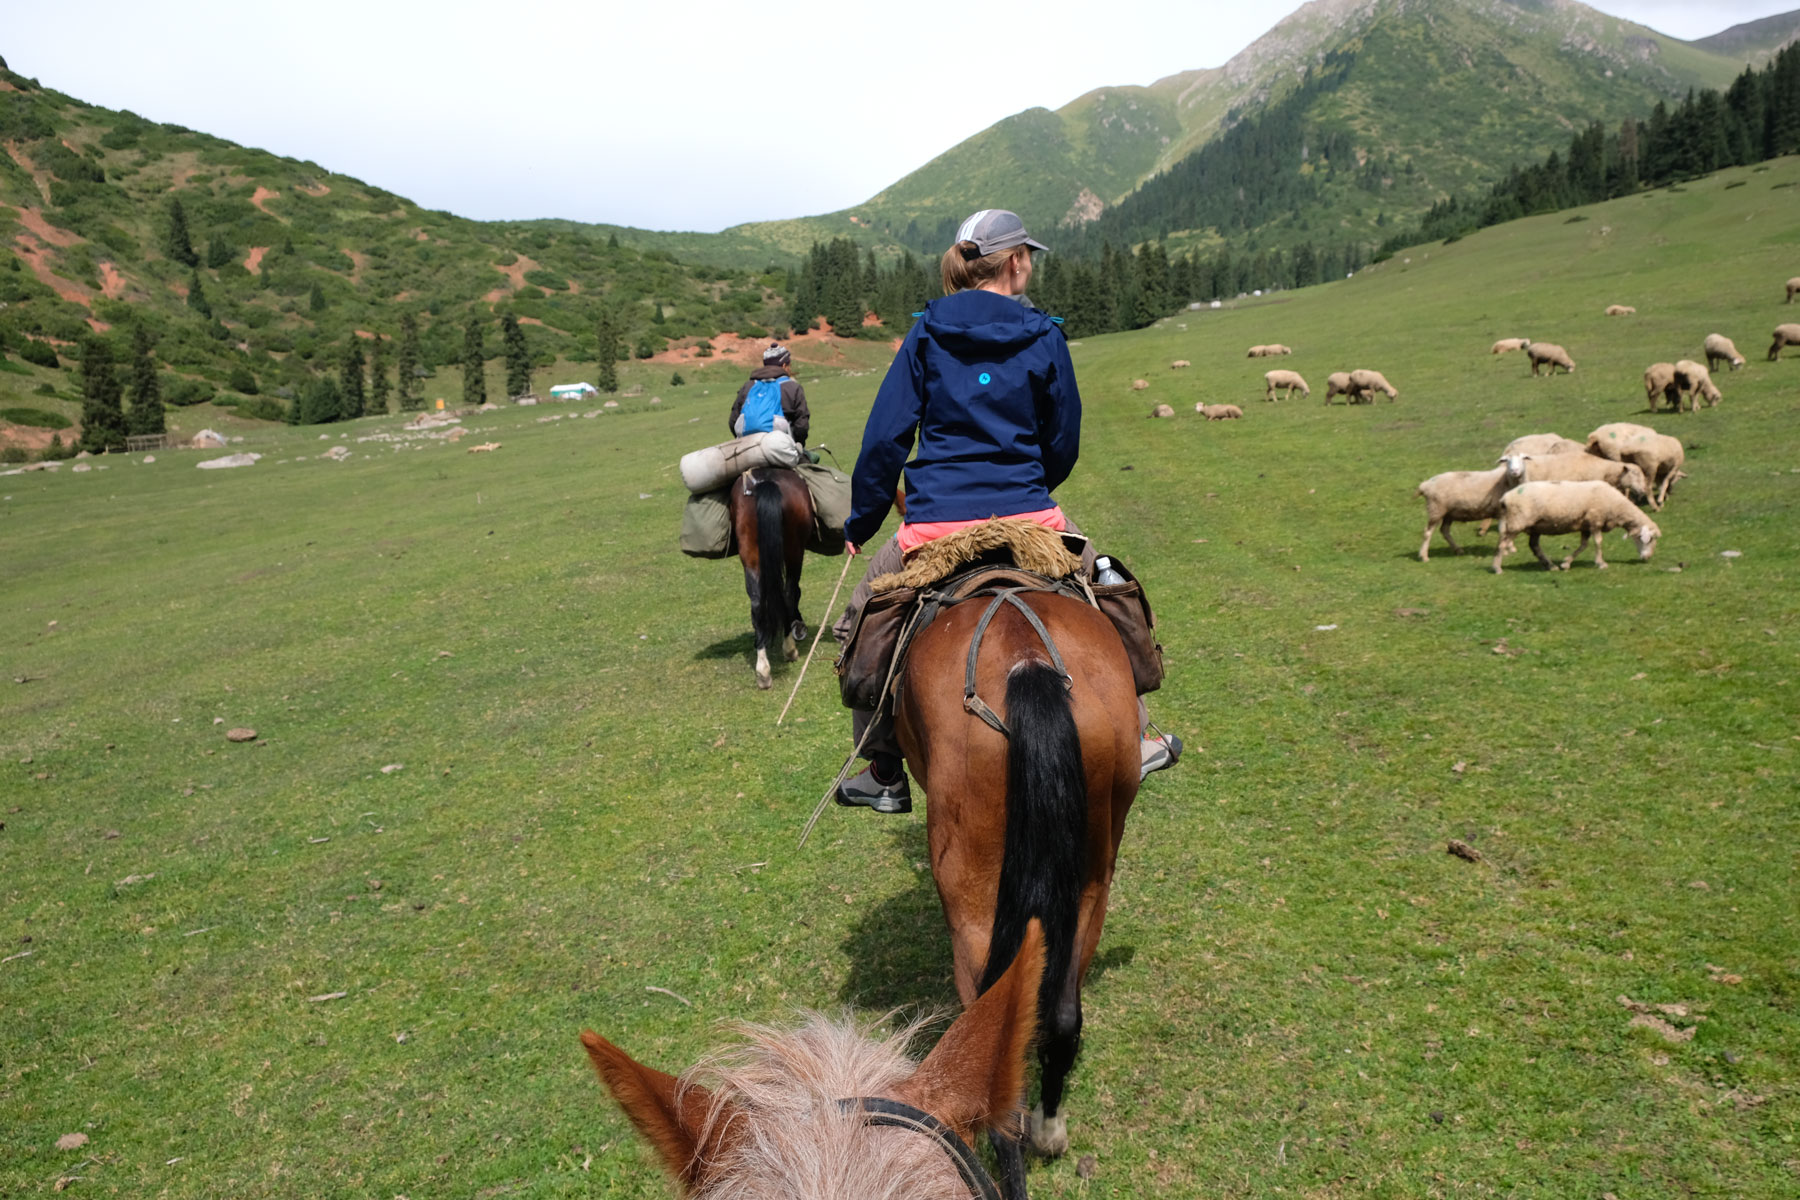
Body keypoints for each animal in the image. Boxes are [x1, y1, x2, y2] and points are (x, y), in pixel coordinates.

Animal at [730, 467, 817, 694]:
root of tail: (765, 481)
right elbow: (794, 592)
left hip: (750, 554)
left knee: (757, 604)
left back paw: (763, 671)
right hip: (794, 550)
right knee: (788, 593)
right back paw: (789, 649)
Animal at [1490, 474, 1656, 575]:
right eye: (1650, 539)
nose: (1648, 558)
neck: (1616, 506)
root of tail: (1506, 498)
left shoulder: (1586, 525)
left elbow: (1583, 545)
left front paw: (1566, 563)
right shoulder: (1595, 521)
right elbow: (1598, 542)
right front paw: (1601, 563)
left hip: (1535, 526)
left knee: (1534, 546)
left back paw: (1550, 565)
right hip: (1517, 522)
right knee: (1502, 544)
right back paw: (1497, 568)